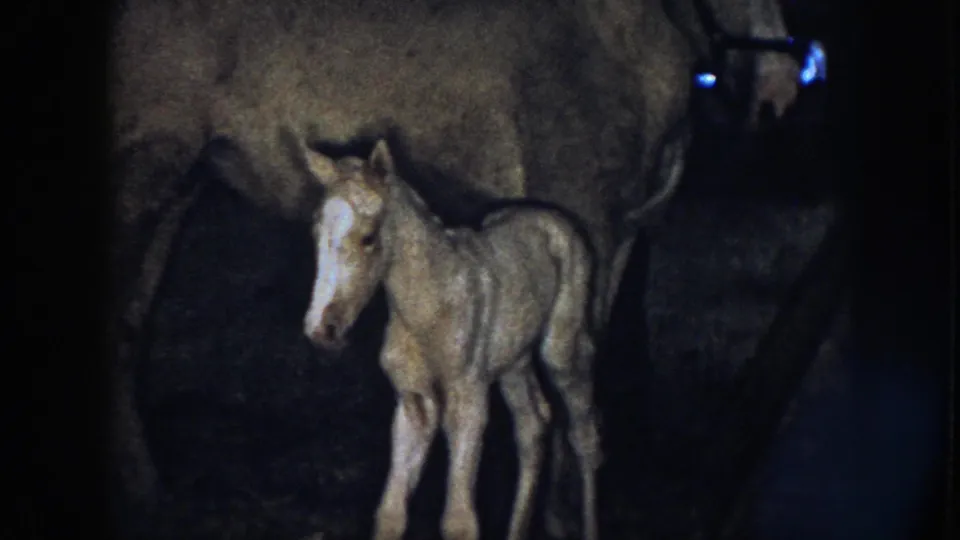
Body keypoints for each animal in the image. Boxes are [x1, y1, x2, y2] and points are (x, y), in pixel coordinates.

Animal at [301, 138, 600, 540]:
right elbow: (391, 511)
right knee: (533, 424)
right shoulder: (414, 402)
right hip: (514, 361)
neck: (430, 305)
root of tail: (551, 217)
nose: (322, 329)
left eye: (368, 238)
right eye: (316, 233)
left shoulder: (467, 400)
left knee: (584, 434)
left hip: (562, 348)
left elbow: (459, 520)